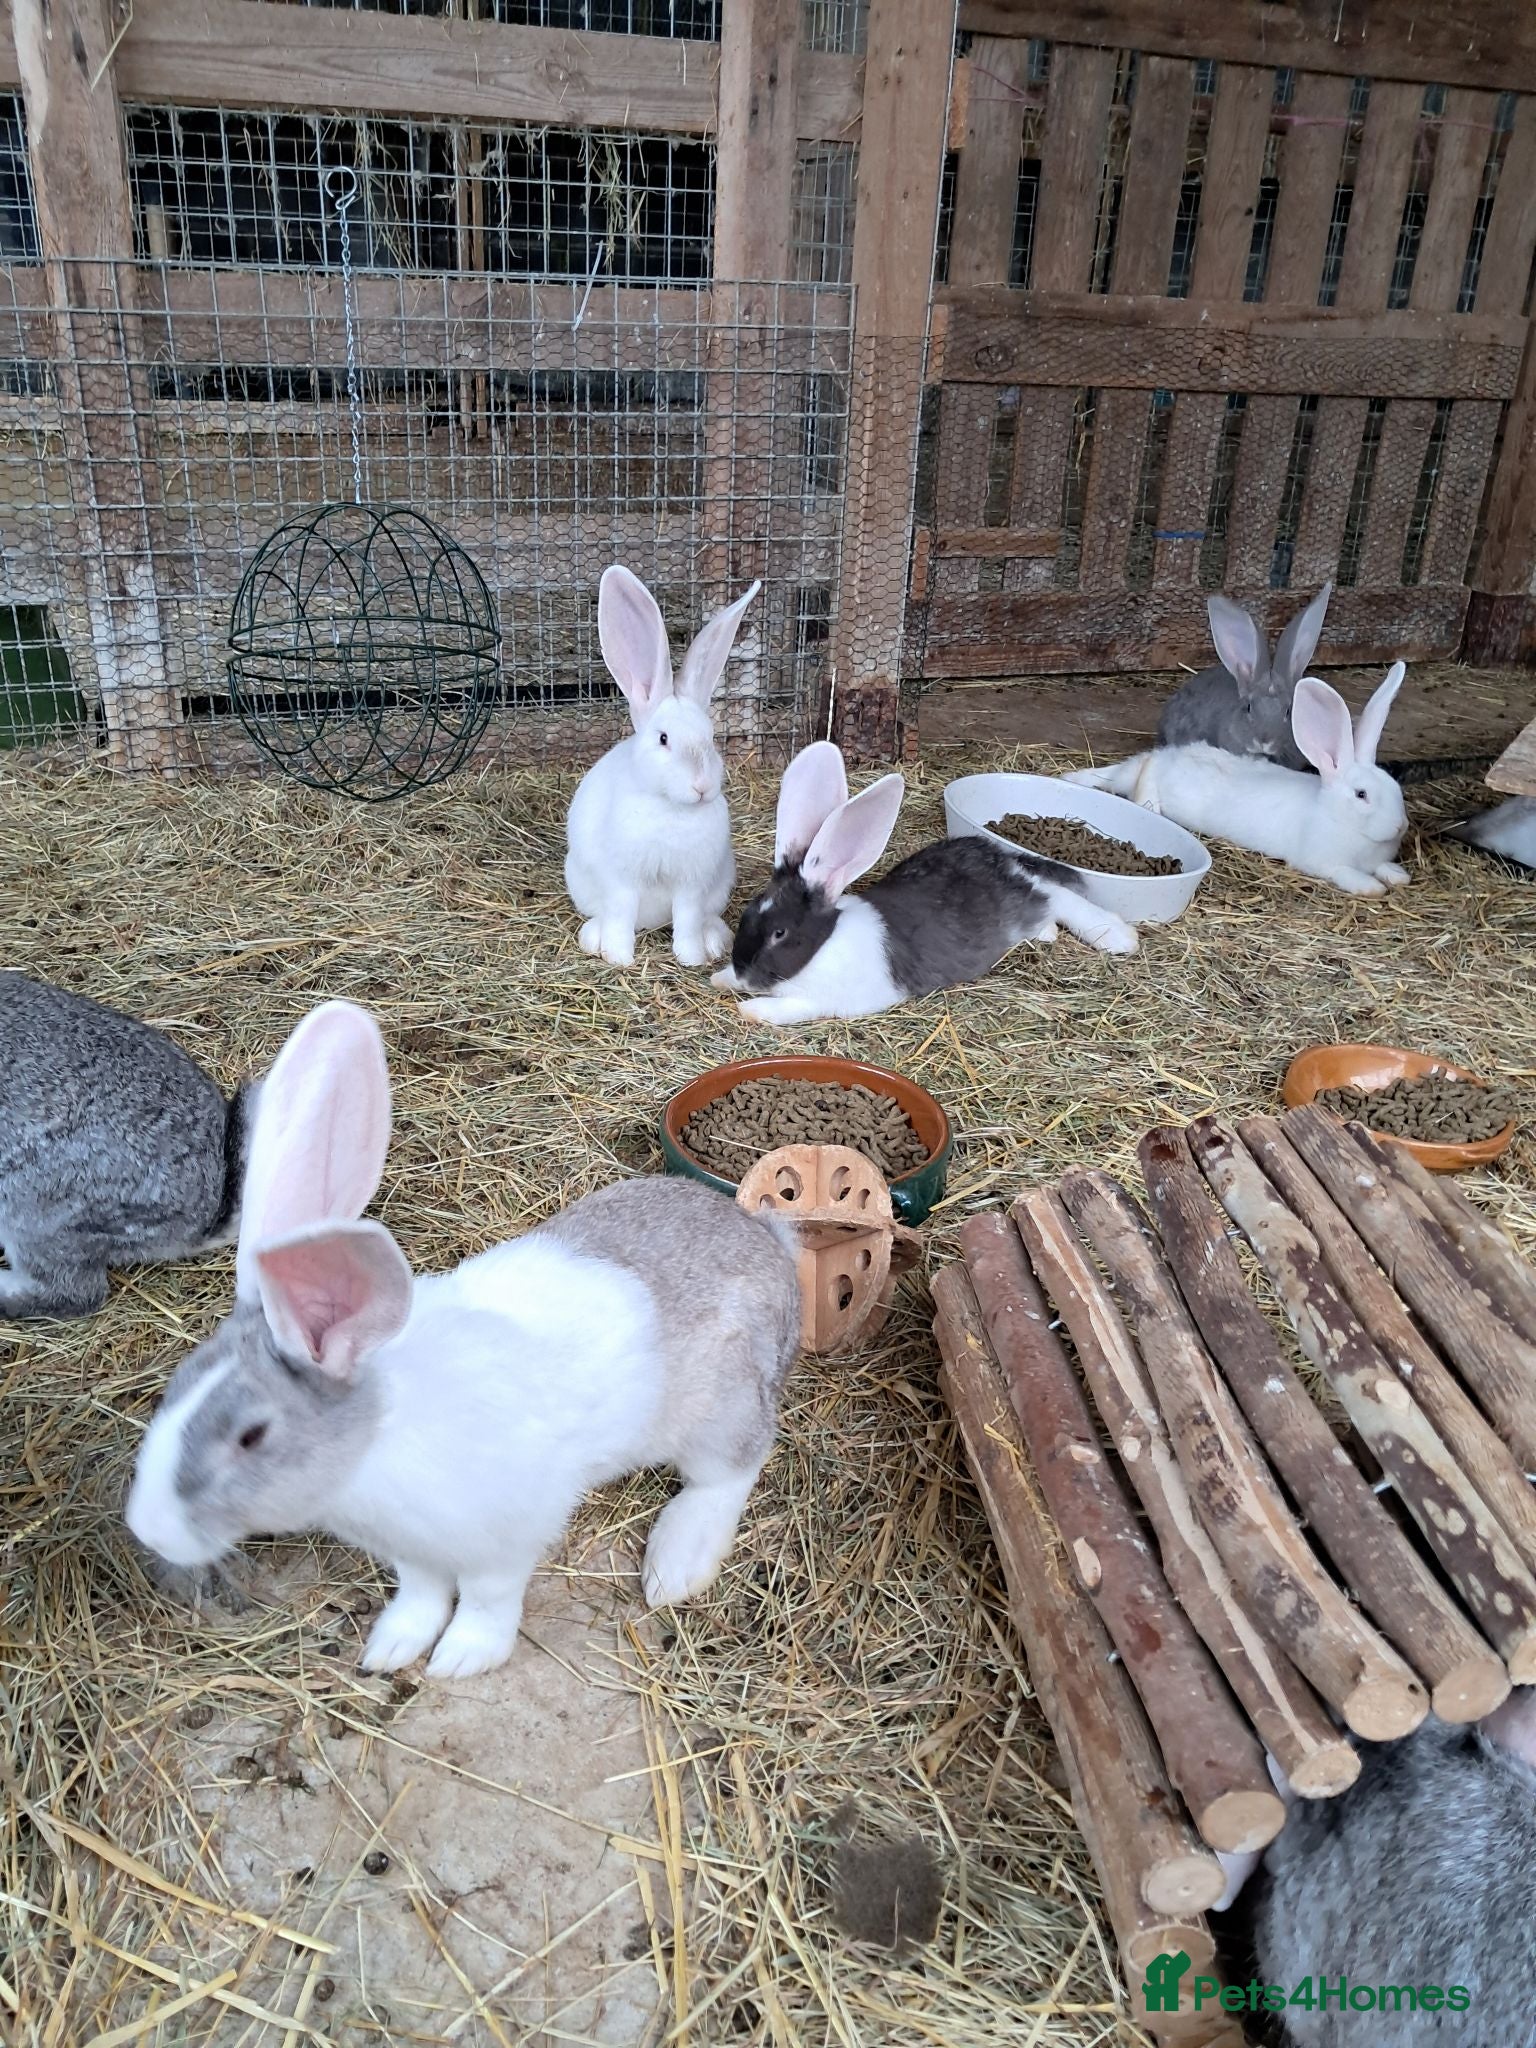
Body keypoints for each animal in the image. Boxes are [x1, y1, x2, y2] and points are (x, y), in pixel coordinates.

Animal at [125, 998, 800, 1681]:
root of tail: (770, 1245)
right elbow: (421, 1594)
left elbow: (484, 1599)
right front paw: (392, 1647)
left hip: (720, 1412)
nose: (149, 1530)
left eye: (251, 1435)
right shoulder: (411, 1554)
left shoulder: (502, 1540)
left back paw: (674, 1567)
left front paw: (461, 1658)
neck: (377, 1439)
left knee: (730, 1472)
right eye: (172, 1392)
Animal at [565, 564, 761, 969]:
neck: (671, 808)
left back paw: (714, 940)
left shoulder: (692, 885)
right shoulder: (622, 880)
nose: (702, 786)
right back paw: (593, 939)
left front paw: (692, 958)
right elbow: (620, 915)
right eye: (663, 739)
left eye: (711, 739)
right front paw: (618, 957)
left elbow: (686, 920)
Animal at [709, 740, 1137, 1027]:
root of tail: (1001, 858)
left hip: (1028, 897)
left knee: (1057, 896)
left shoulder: (827, 1000)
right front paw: (721, 979)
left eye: (780, 933)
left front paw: (750, 1008)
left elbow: (785, 1008)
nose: (745, 973)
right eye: (747, 914)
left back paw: (1119, 937)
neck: (822, 947)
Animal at [1068, 667, 1409, 897]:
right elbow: (1349, 875)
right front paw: (1372, 887)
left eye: (1396, 789)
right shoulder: (1323, 862)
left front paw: (1398, 875)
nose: (1400, 826)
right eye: (1361, 794)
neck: (1337, 816)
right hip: (1153, 780)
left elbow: (1384, 868)